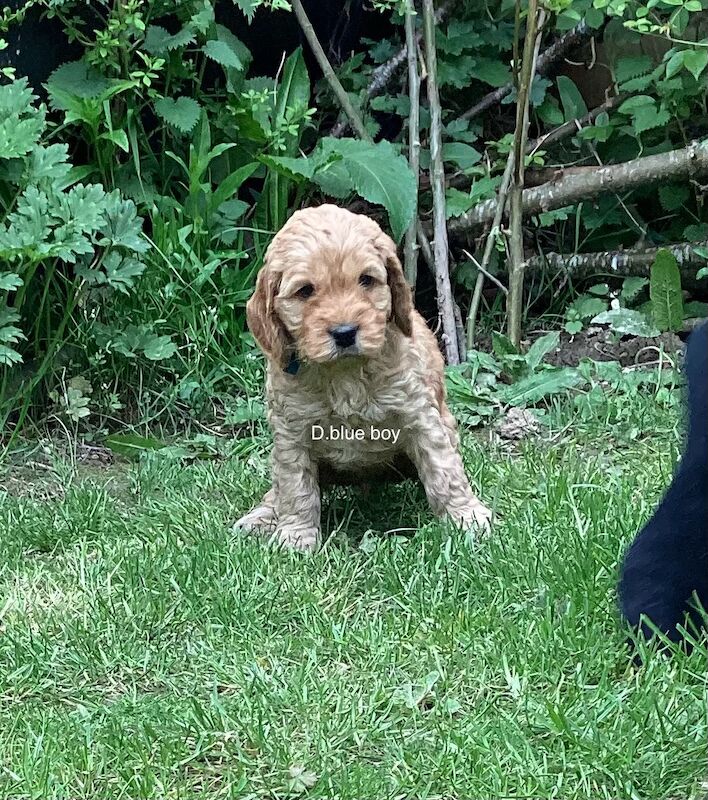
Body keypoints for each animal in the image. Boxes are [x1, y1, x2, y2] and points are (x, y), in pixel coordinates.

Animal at [235, 205, 490, 552]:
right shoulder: (291, 432)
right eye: (305, 291)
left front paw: (466, 517)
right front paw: (296, 537)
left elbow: (444, 471)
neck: (344, 374)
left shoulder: (420, 415)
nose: (344, 332)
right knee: (276, 490)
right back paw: (261, 518)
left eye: (366, 280)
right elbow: (295, 487)